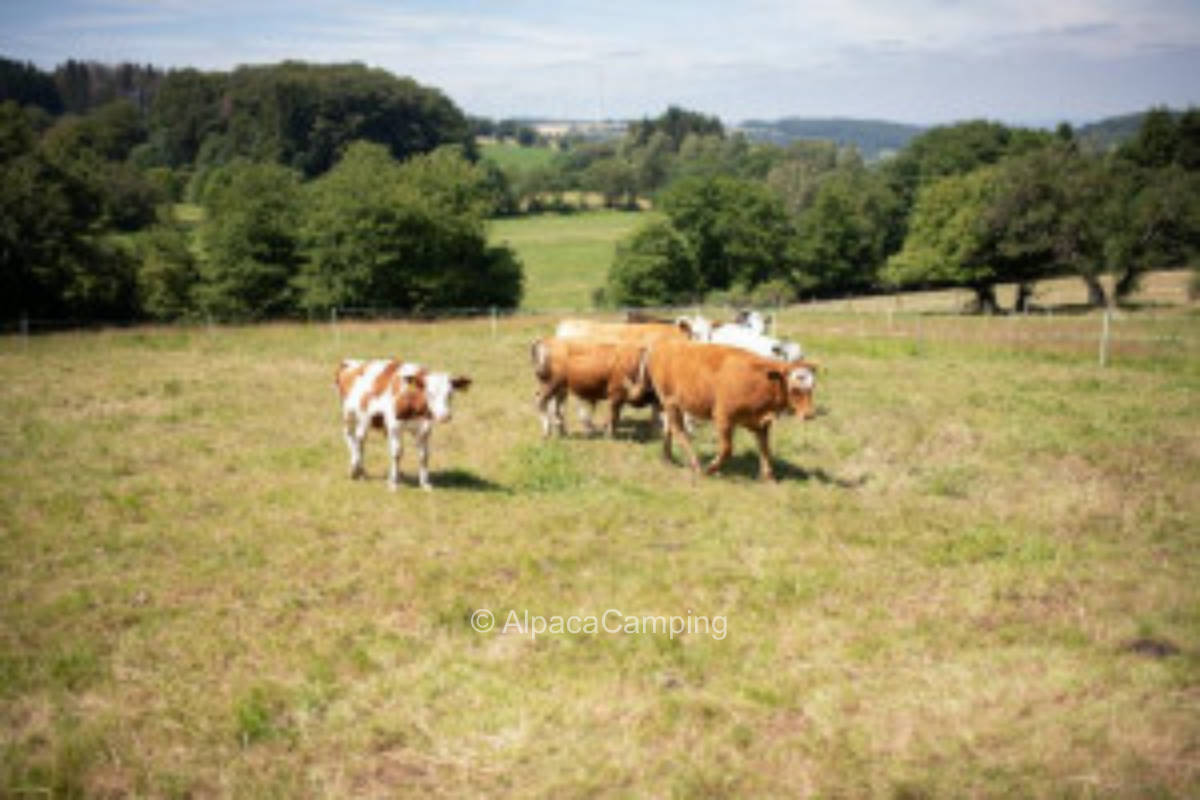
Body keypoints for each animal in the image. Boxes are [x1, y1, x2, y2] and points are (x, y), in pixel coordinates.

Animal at [335, 359, 471, 491]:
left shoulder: (424, 429)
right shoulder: (395, 426)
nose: (445, 416)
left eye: (450, 394)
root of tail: (350, 362)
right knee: (351, 437)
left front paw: (424, 484)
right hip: (348, 415)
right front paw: (393, 484)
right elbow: (397, 453)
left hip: (366, 421)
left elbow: (424, 455)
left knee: (360, 440)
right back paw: (355, 469)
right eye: (429, 393)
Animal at [629, 339, 818, 481]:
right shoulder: (723, 418)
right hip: (670, 401)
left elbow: (765, 449)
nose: (809, 414)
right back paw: (696, 464)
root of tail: (661, 344)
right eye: (794, 389)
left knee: (668, 428)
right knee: (678, 431)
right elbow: (727, 449)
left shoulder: (761, 423)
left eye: (812, 387)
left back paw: (668, 457)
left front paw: (769, 477)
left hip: (672, 405)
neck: (761, 380)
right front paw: (711, 469)